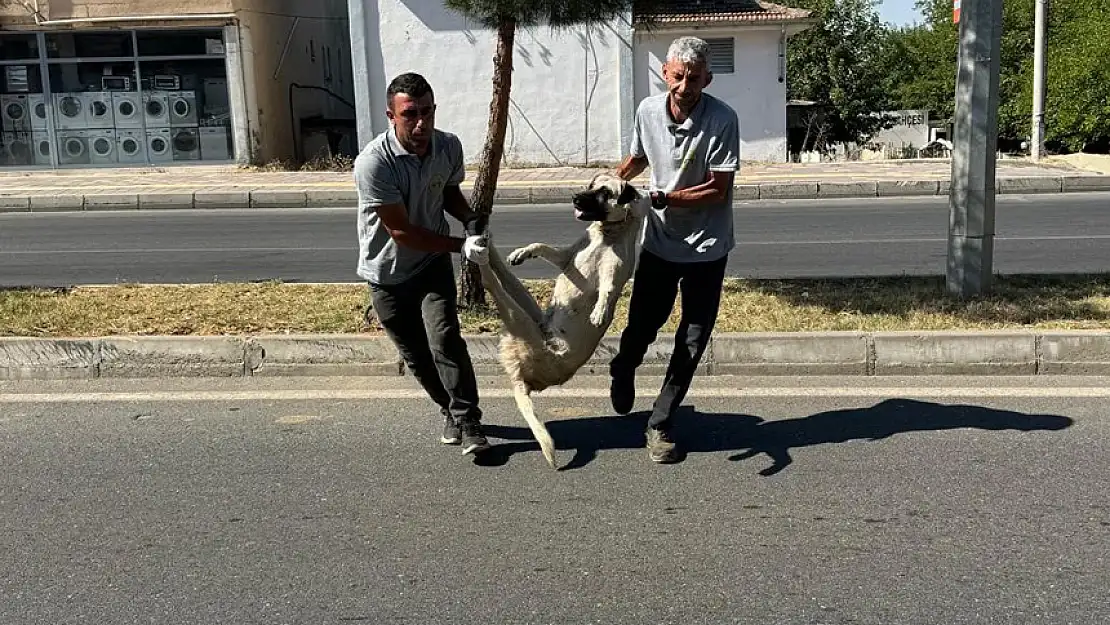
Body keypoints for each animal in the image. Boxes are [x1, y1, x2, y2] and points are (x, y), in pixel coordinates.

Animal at [477, 173, 648, 466]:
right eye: (591, 185)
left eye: (605, 192)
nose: (575, 198)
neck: (606, 234)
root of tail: (520, 378)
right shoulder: (565, 257)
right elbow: (543, 247)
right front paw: (524, 251)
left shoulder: (613, 274)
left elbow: (607, 290)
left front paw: (600, 310)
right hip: (528, 313)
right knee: (504, 278)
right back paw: (490, 249)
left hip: (522, 323)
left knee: (496, 285)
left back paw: (481, 258)